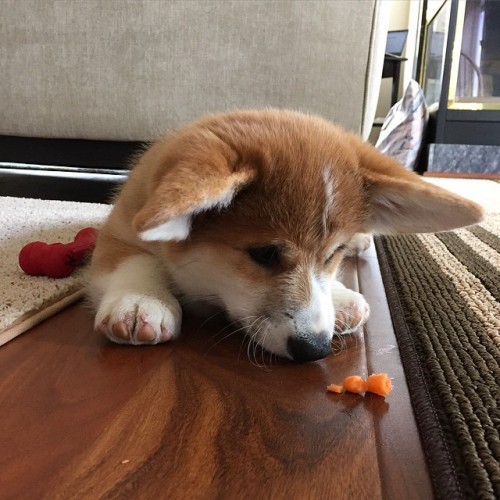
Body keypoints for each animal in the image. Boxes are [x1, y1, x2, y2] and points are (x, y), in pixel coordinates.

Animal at [87, 109, 484, 362]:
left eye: (332, 254)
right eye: (264, 253)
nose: (316, 350)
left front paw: (339, 296)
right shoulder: (118, 229)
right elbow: (134, 261)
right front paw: (140, 301)